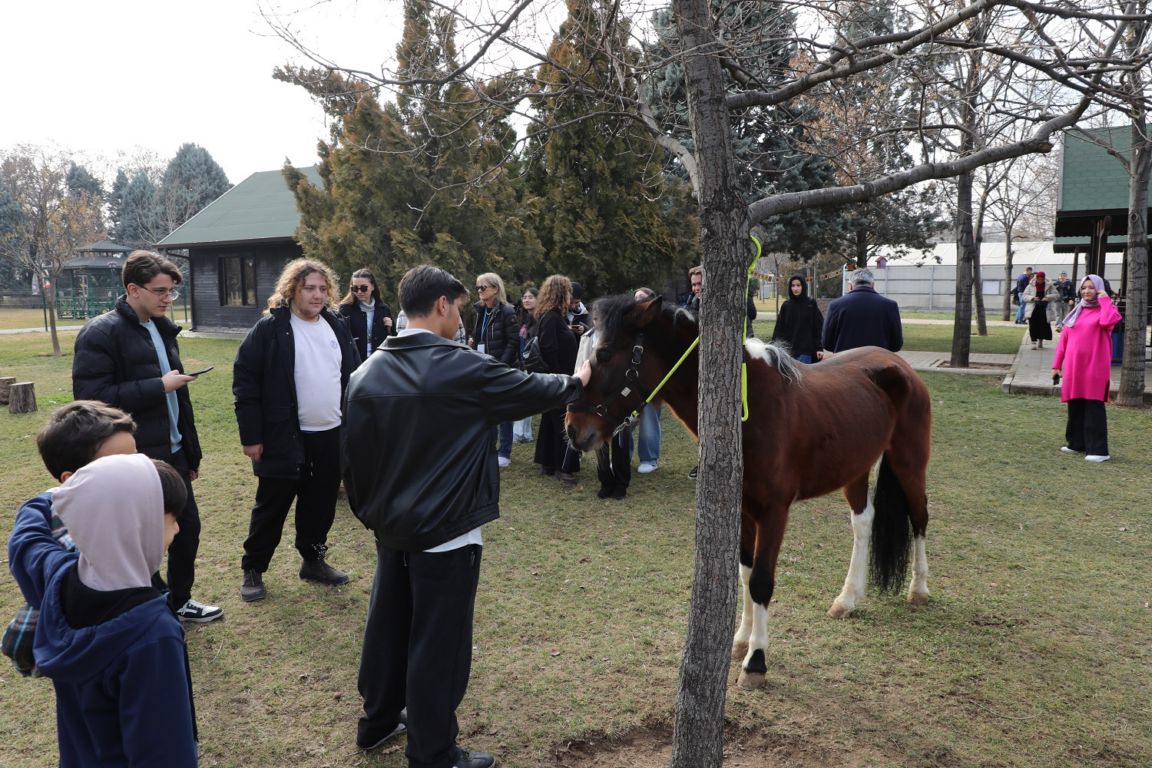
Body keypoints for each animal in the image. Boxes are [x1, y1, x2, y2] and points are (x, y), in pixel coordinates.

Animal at [562, 297, 930, 690]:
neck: (749, 409)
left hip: (909, 462)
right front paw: (741, 641)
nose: (572, 429)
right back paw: (847, 599)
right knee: (863, 523)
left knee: (919, 517)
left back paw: (918, 590)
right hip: (855, 469)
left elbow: (761, 581)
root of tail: (899, 365)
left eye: (604, 354)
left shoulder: (774, 512)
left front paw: (756, 661)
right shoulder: (741, 508)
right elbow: (744, 574)